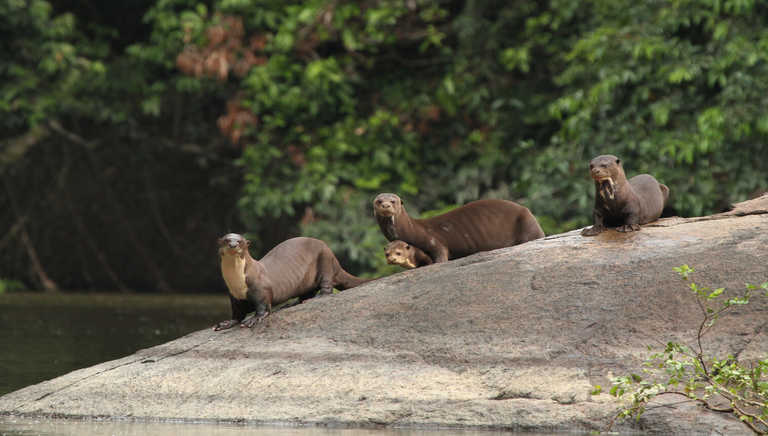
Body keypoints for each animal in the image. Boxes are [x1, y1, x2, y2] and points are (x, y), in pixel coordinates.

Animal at [213, 235, 368, 330]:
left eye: (240, 241)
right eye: (226, 240)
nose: (233, 244)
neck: (238, 282)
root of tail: (335, 260)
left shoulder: (261, 290)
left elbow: (263, 307)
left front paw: (254, 319)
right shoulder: (233, 295)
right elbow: (237, 313)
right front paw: (226, 323)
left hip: (325, 259)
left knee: (327, 287)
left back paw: (316, 298)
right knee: (306, 293)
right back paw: (291, 303)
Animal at [374, 193, 544, 262]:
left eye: (393, 201)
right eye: (378, 201)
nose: (386, 205)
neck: (415, 231)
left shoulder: (434, 242)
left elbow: (441, 255)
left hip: (527, 222)